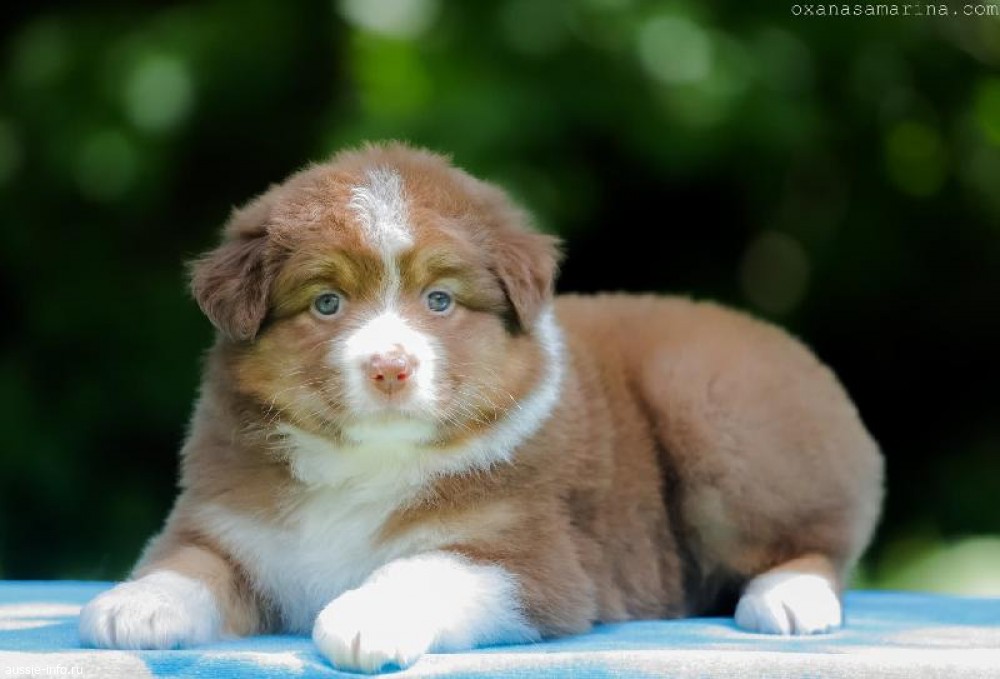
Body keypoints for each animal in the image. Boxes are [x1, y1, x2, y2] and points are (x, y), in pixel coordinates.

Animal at [78, 143, 884, 673]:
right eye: (327, 303)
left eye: (440, 300)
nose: (391, 366)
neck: (366, 462)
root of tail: (785, 343)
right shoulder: (229, 522)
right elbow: (187, 561)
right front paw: (137, 604)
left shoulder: (533, 557)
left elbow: (429, 567)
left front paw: (368, 616)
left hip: (718, 416)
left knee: (821, 543)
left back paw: (789, 597)